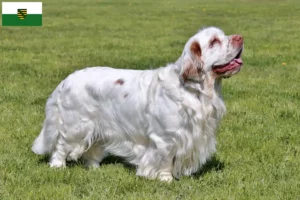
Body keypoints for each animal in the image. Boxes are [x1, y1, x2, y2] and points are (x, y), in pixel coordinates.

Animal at [32, 27, 244, 183]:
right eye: (214, 41)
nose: (240, 38)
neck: (194, 90)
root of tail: (66, 81)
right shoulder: (165, 138)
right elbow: (166, 160)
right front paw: (166, 180)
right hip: (76, 126)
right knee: (61, 145)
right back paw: (57, 166)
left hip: (99, 127)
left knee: (92, 148)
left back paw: (94, 168)